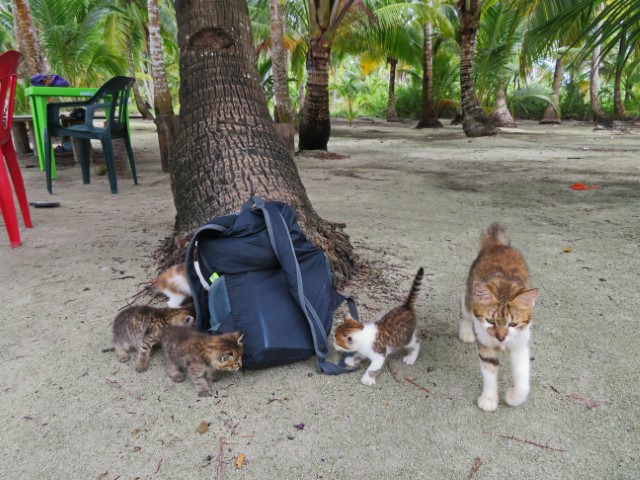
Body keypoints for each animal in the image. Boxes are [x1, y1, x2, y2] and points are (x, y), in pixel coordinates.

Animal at [460, 223, 540, 410]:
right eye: (490, 320)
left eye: (513, 324)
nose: (501, 338)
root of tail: (497, 245)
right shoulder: (485, 343)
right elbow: (489, 372)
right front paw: (489, 399)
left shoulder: (520, 344)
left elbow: (523, 381)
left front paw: (512, 396)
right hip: (470, 294)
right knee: (464, 308)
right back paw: (466, 332)